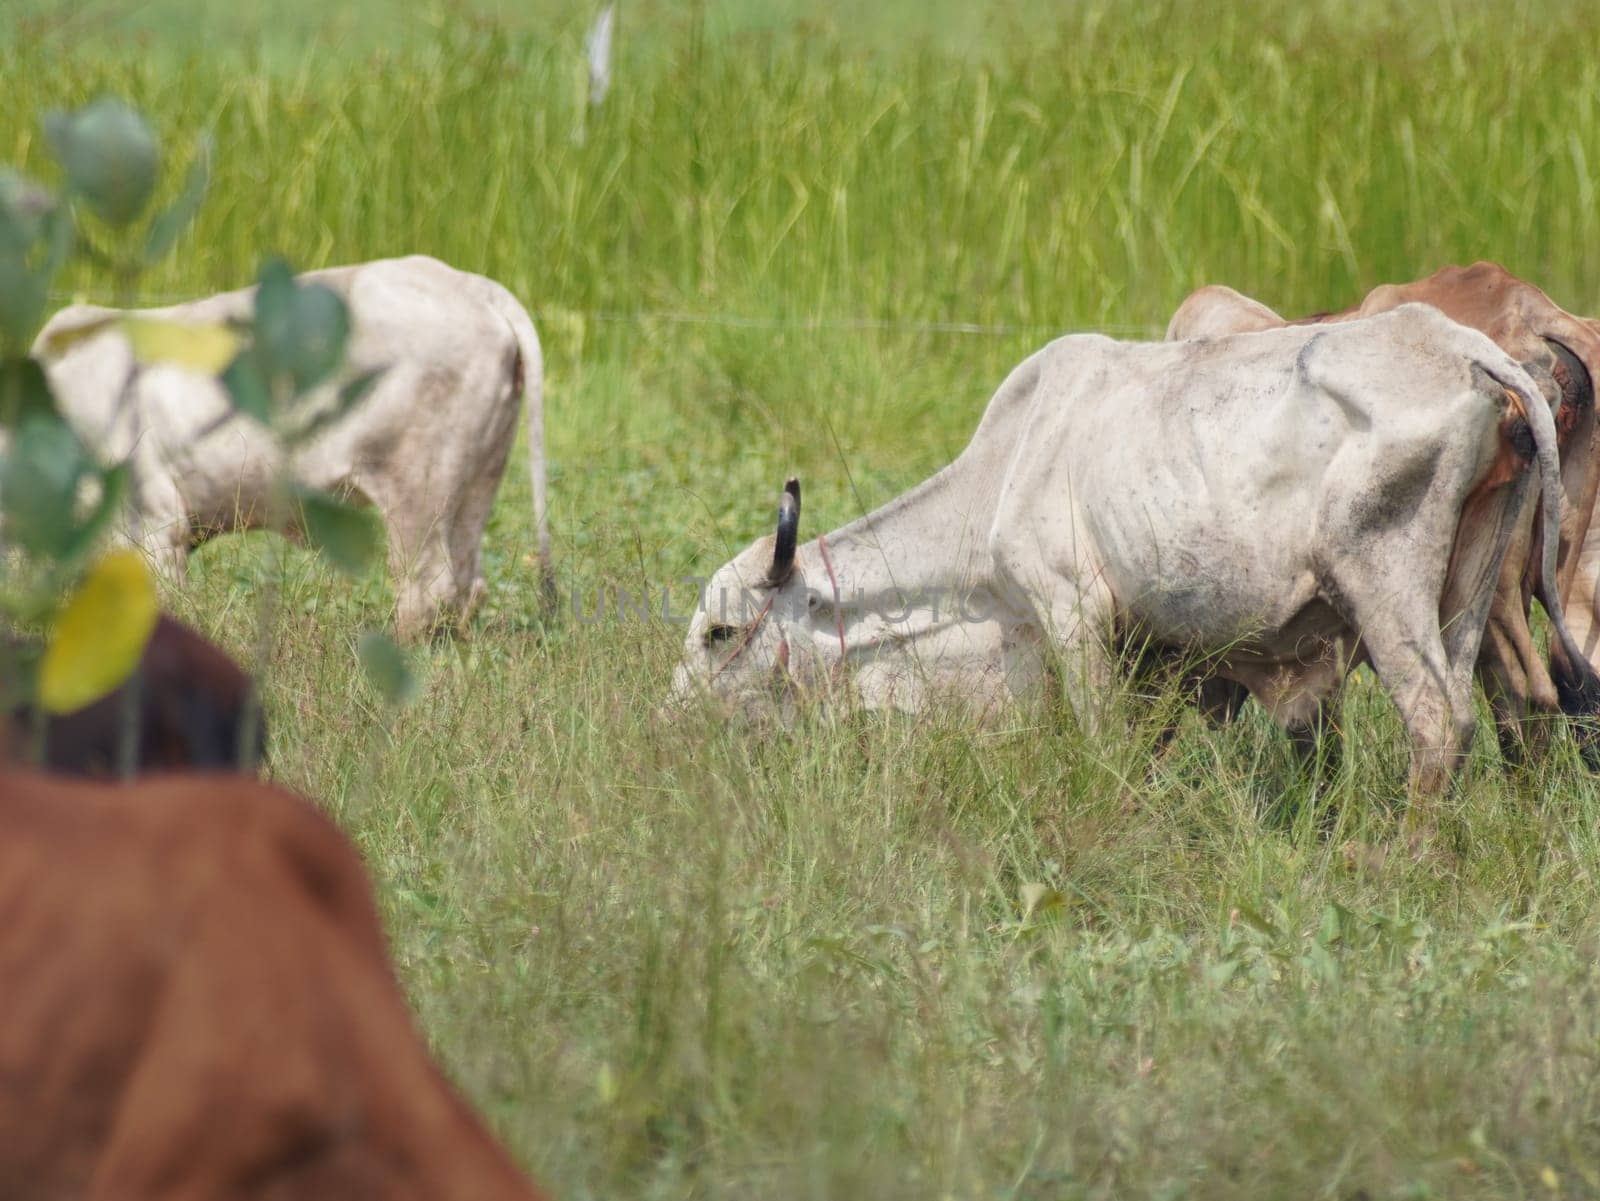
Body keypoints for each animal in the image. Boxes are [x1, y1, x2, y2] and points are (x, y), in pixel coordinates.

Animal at [672, 307, 1574, 799]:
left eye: (720, 633)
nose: (670, 722)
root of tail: (1463, 347)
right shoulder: (1156, 654)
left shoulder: (1071, 612)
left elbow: (1104, 746)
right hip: (1468, 596)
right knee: (1490, 710)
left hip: (1384, 586)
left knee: (1436, 720)